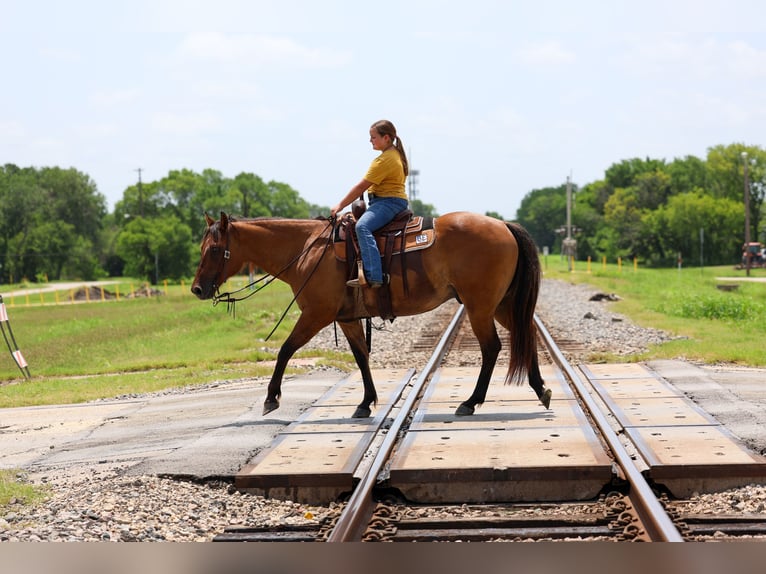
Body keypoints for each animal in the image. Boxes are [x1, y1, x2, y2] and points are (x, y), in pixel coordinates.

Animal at [191, 211, 552, 418]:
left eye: (214, 249)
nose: (196, 289)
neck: (307, 249)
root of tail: (504, 225)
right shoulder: (346, 318)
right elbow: (361, 357)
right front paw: (366, 403)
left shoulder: (316, 314)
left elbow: (285, 349)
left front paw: (271, 398)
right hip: (500, 305)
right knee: (526, 334)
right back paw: (541, 390)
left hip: (479, 307)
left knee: (492, 348)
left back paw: (471, 402)